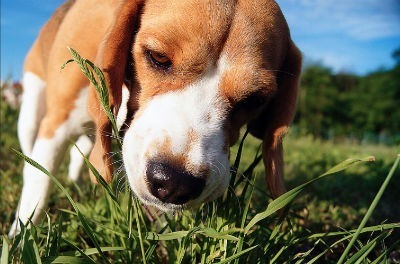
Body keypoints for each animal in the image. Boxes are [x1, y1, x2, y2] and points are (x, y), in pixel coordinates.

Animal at [9, 0, 302, 235]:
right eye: (158, 57)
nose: (175, 183)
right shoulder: (55, 126)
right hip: (31, 111)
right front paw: (20, 238)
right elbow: (38, 184)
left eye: (254, 100)